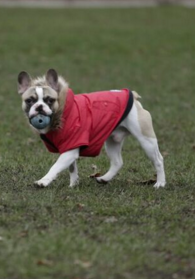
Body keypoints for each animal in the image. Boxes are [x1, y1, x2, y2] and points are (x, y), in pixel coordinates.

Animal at [17, 69, 165, 189]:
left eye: (50, 100)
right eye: (29, 101)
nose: (39, 107)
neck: (62, 112)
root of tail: (133, 96)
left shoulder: (70, 149)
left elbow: (56, 166)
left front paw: (43, 181)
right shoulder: (69, 148)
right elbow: (72, 168)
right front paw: (73, 184)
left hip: (146, 139)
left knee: (158, 160)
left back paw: (160, 183)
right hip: (112, 141)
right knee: (117, 162)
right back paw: (104, 178)